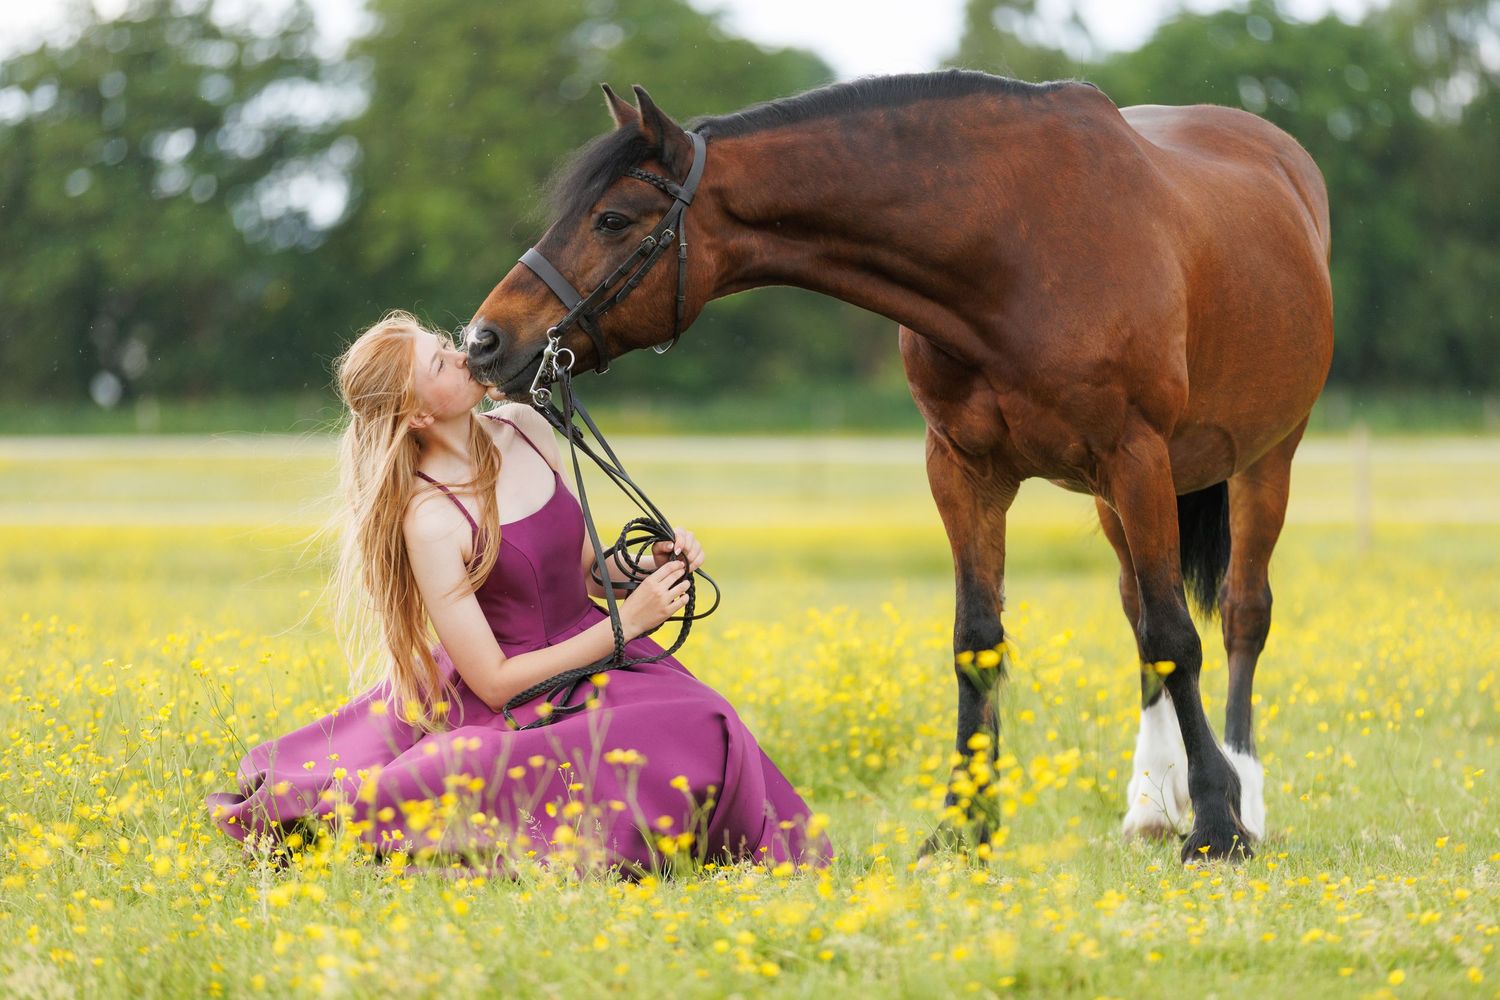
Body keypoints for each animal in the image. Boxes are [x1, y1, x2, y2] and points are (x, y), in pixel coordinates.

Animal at [462, 71, 1333, 863]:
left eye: (612, 219)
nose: (484, 342)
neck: (1016, 244)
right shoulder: (964, 470)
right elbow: (979, 640)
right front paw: (961, 828)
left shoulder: (1135, 454)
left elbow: (1176, 637)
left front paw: (1217, 825)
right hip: (1114, 500)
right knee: (1134, 606)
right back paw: (1152, 805)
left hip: (1260, 459)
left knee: (1240, 613)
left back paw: (1245, 797)